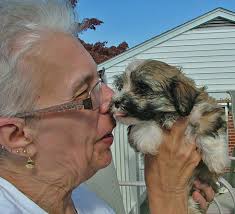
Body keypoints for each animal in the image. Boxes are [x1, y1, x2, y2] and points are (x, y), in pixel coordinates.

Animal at [111, 59, 229, 213]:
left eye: (142, 87)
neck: (169, 114)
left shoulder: (206, 112)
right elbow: (143, 123)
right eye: (120, 86)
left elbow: (208, 132)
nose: (116, 102)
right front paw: (146, 137)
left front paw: (216, 160)